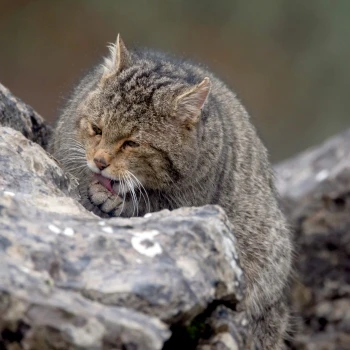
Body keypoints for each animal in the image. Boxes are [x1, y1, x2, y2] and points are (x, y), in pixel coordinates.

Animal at [50, 34, 292, 348]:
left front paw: (113, 200)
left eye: (132, 143)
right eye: (97, 128)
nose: (100, 162)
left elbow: (146, 205)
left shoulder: (185, 202)